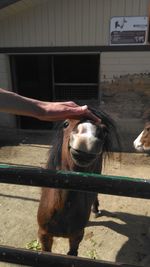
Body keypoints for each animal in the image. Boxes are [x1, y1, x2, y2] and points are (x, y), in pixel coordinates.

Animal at [37, 109, 120, 258]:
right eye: (66, 123)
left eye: (104, 130)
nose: (86, 137)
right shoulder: (44, 235)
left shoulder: (76, 237)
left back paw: (96, 210)